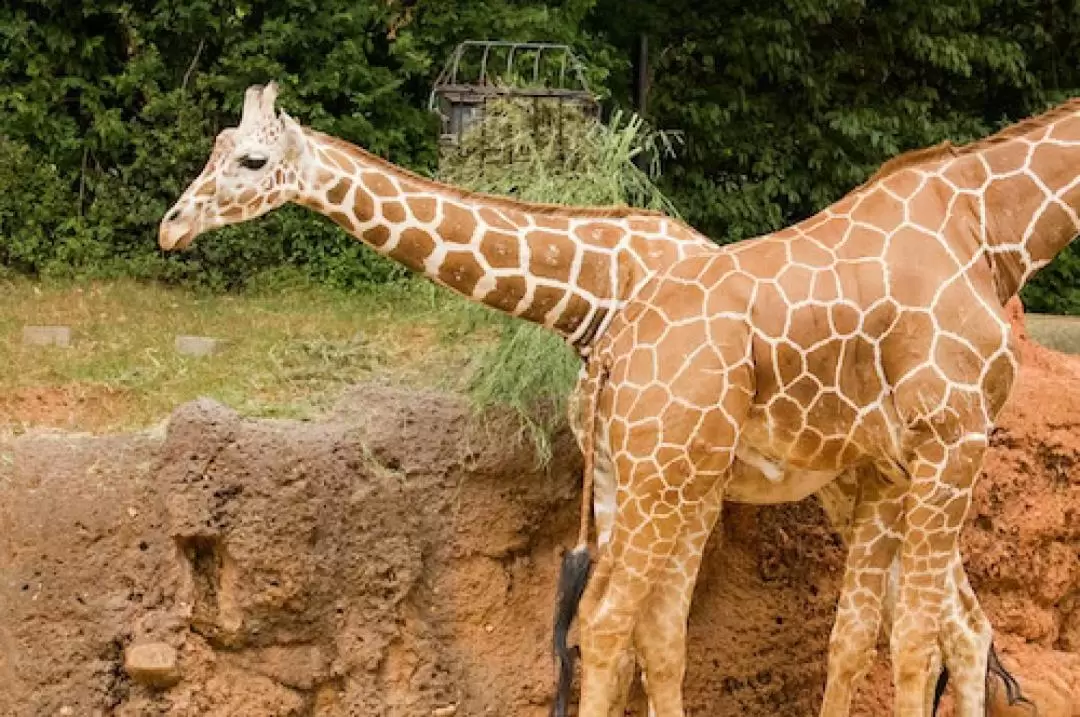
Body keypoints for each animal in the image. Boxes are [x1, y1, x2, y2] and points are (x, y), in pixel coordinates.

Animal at [561, 100, 1080, 717]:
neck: (989, 230)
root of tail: (609, 350)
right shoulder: (953, 434)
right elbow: (915, 639)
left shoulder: (889, 466)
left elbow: (856, 636)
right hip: (663, 478)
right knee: (607, 620)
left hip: (638, 477)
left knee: (618, 619)